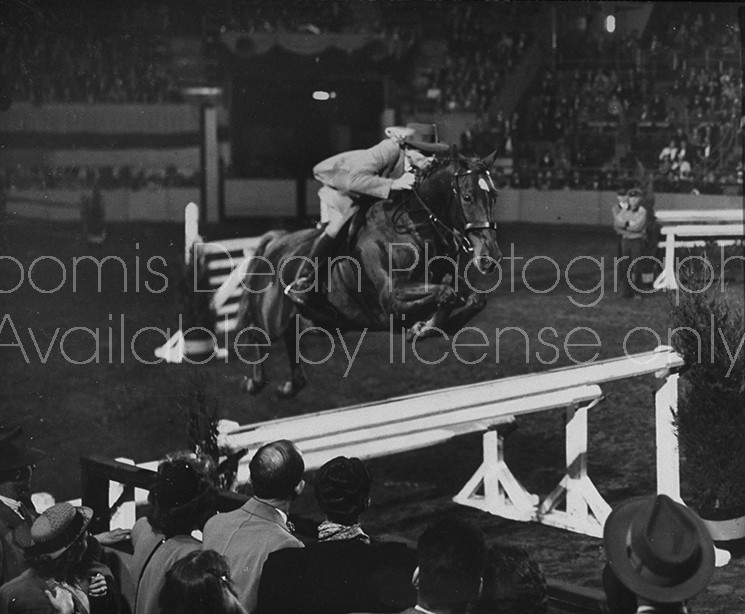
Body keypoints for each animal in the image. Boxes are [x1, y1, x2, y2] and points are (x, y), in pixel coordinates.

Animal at [232, 152, 500, 398]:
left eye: (494, 196)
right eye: (467, 197)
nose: (490, 256)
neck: (414, 228)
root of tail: (275, 241)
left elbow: (470, 298)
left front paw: (423, 329)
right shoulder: (390, 301)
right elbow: (446, 294)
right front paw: (422, 327)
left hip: (316, 321)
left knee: (290, 337)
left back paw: (290, 385)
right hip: (271, 317)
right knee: (256, 333)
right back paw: (253, 382)